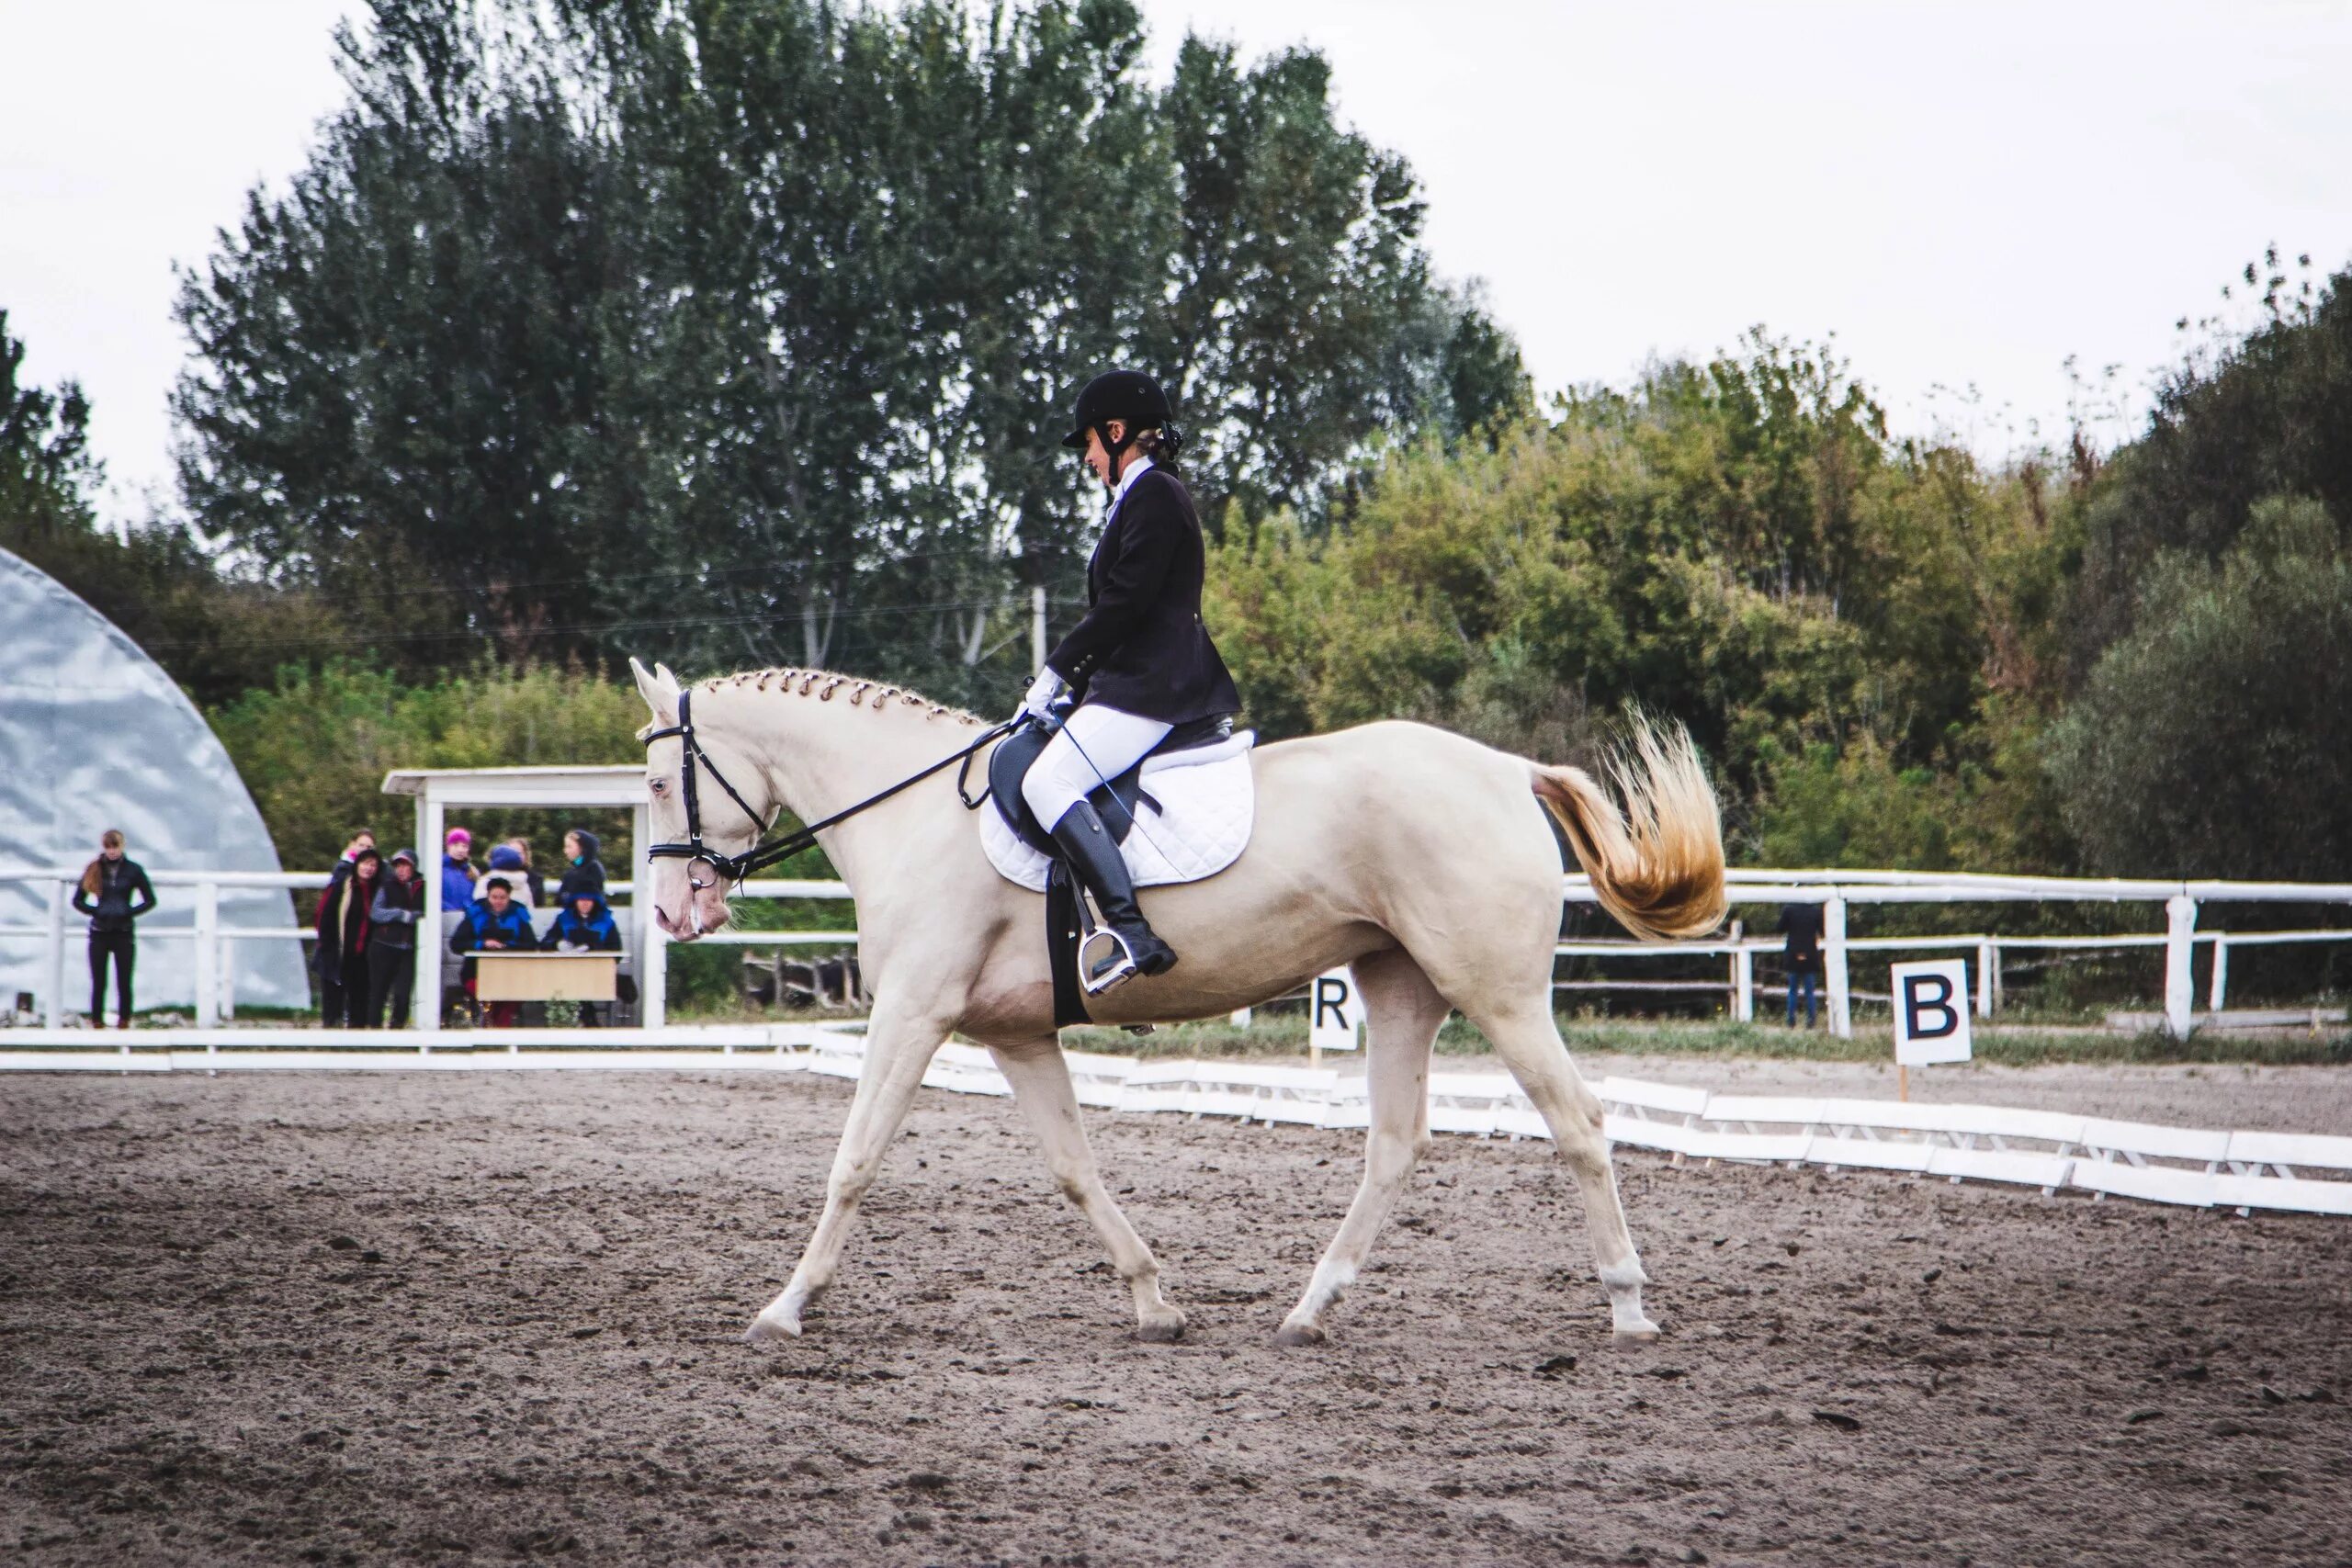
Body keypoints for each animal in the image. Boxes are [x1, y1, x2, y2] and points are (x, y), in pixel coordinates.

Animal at [630, 662, 1731, 1354]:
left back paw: (1628, 1308)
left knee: (1578, 1122)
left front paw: (785, 1307)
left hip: (1495, 991)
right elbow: (1074, 1171)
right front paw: (1154, 1300)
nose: (675, 911)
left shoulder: (912, 1011)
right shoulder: (1015, 1035)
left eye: (654, 781)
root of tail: (1506, 767)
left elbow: (853, 1162)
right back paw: (1309, 1309)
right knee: (1394, 1144)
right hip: (1400, 984)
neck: (912, 810)